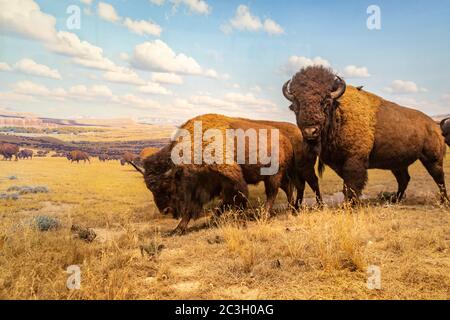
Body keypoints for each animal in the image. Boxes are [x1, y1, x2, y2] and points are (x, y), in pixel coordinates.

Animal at [129, 114, 320, 234]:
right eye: (150, 188)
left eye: (167, 185)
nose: (165, 210)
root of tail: (285, 139)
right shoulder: (212, 185)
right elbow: (201, 206)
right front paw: (179, 229)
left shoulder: (230, 179)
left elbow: (237, 198)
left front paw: (238, 220)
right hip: (278, 175)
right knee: (288, 188)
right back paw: (291, 209)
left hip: (277, 174)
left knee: (277, 192)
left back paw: (267, 215)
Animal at [284, 66, 448, 204]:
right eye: (296, 106)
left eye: (325, 102)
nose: (310, 131)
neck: (339, 112)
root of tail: (433, 125)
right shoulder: (339, 164)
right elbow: (346, 186)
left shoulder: (354, 161)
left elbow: (352, 186)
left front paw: (351, 205)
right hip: (397, 164)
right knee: (404, 179)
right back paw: (396, 200)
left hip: (432, 159)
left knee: (439, 178)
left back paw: (443, 201)